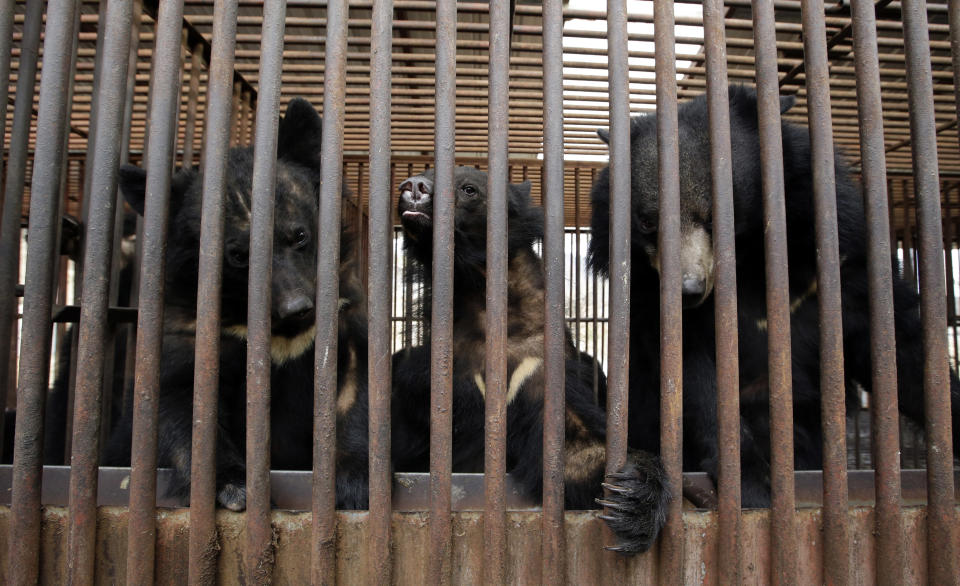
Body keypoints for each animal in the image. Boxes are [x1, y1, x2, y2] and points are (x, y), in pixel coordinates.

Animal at [106, 97, 372, 506]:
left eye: (299, 236)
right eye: (237, 256)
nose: (299, 308)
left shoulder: (344, 309)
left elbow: (354, 386)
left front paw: (356, 480)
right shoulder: (191, 327)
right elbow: (183, 402)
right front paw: (231, 487)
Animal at [390, 165, 668, 552]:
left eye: (469, 189)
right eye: (427, 170)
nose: (413, 186)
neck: (481, 296)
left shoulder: (538, 365)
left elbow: (573, 450)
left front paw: (632, 497)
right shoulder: (429, 371)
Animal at [588, 84, 956, 504]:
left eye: (717, 216)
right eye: (648, 223)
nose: (687, 291)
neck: (748, 260)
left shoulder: (839, 252)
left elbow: (900, 345)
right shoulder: (651, 301)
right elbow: (692, 378)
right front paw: (750, 482)